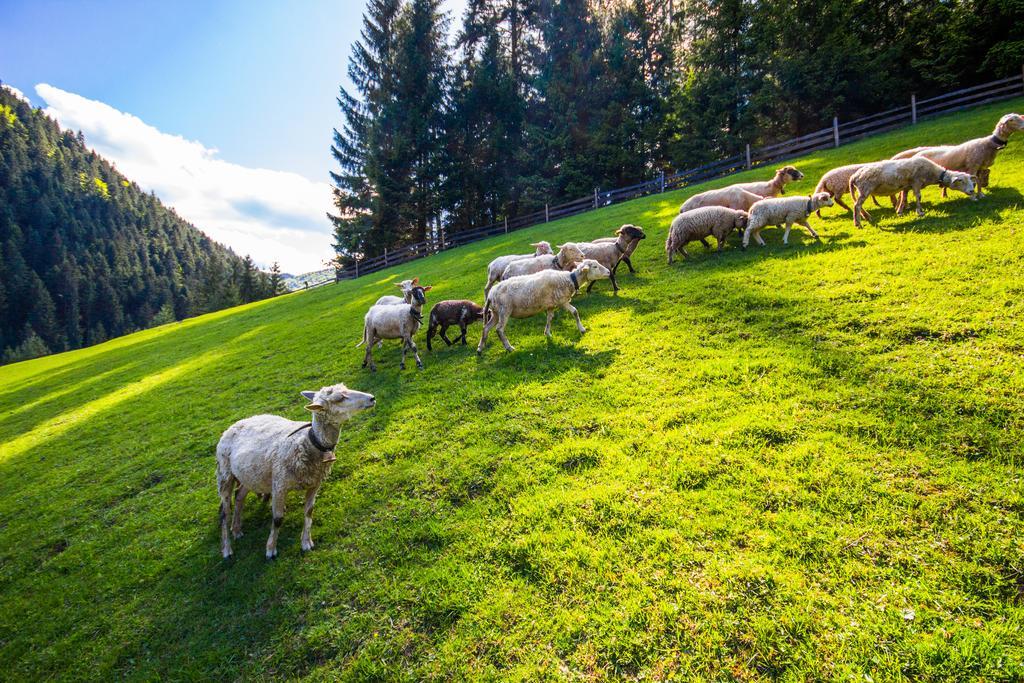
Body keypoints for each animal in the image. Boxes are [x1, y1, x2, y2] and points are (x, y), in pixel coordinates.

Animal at [216, 382, 376, 557]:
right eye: (339, 398)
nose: (372, 398)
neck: (307, 442)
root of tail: (234, 424)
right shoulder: (279, 484)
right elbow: (278, 519)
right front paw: (270, 549)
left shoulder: (315, 483)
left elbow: (309, 511)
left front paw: (306, 542)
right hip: (225, 473)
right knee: (225, 513)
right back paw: (226, 548)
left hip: (250, 475)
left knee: (239, 495)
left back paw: (237, 529)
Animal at [477, 255, 610, 352]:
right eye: (595, 266)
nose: (609, 272)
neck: (569, 279)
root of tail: (490, 295)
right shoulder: (562, 301)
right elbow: (575, 312)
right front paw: (582, 329)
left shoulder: (551, 305)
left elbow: (550, 318)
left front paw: (547, 333)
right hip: (504, 310)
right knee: (499, 329)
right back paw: (509, 347)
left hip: (496, 312)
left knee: (486, 327)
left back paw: (480, 348)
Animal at [888, 113, 1024, 198]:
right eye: (1012, 120)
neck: (989, 144)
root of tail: (917, 153)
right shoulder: (973, 166)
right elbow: (976, 181)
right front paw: (976, 195)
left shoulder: (980, 167)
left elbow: (979, 182)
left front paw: (981, 194)